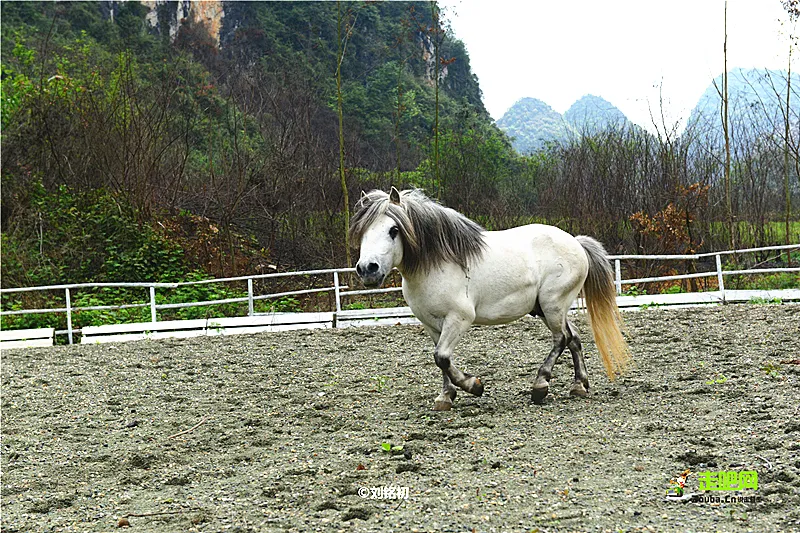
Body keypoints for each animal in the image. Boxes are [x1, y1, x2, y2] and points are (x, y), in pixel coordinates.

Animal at [350, 188, 632, 412]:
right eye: (361, 232)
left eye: (394, 230)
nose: (368, 269)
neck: (437, 263)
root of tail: (575, 242)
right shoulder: (431, 325)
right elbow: (440, 359)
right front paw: (446, 396)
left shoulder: (459, 319)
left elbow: (442, 357)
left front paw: (473, 386)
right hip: (547, 309)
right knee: (573, 338)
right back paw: (579, 386)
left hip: (553, 305)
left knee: (561, 339)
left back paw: (540, 386)